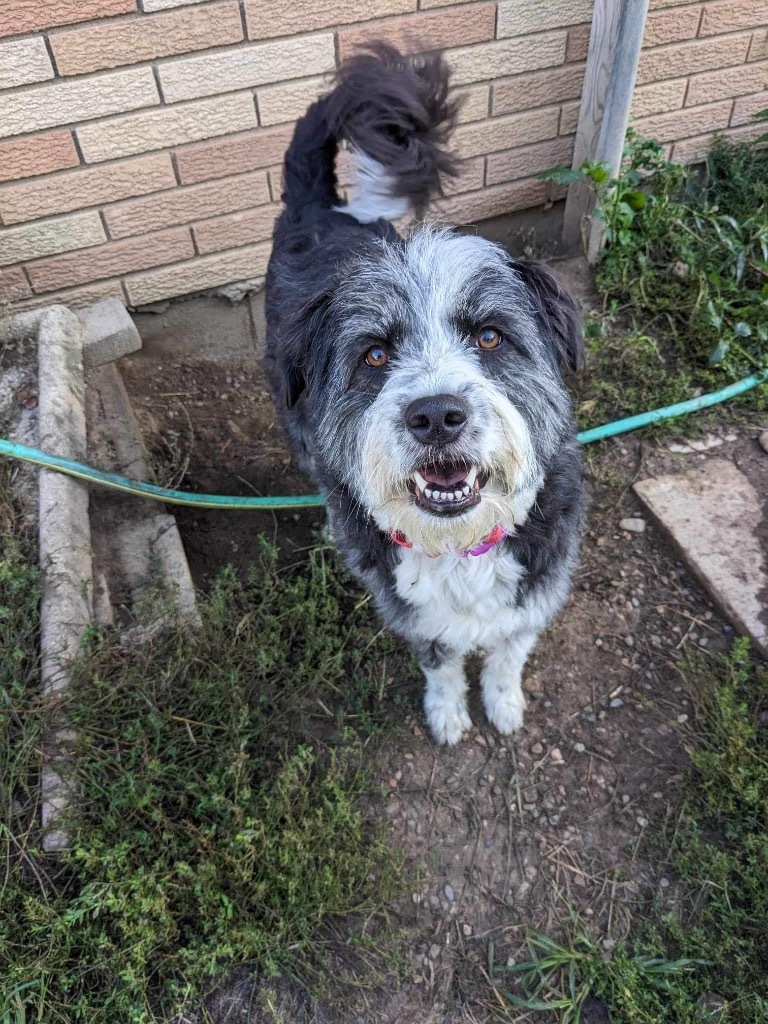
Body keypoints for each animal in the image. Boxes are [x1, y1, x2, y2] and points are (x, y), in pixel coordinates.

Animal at [264, 46, 581, 745]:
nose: (436, 416)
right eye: (375, 355)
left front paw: (504, 702)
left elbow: (509, 651)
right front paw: (448, 712)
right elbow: (440, 662)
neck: (460, 544)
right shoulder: (413, 612)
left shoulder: (538, 586)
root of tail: (318, 208)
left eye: (489, 336)